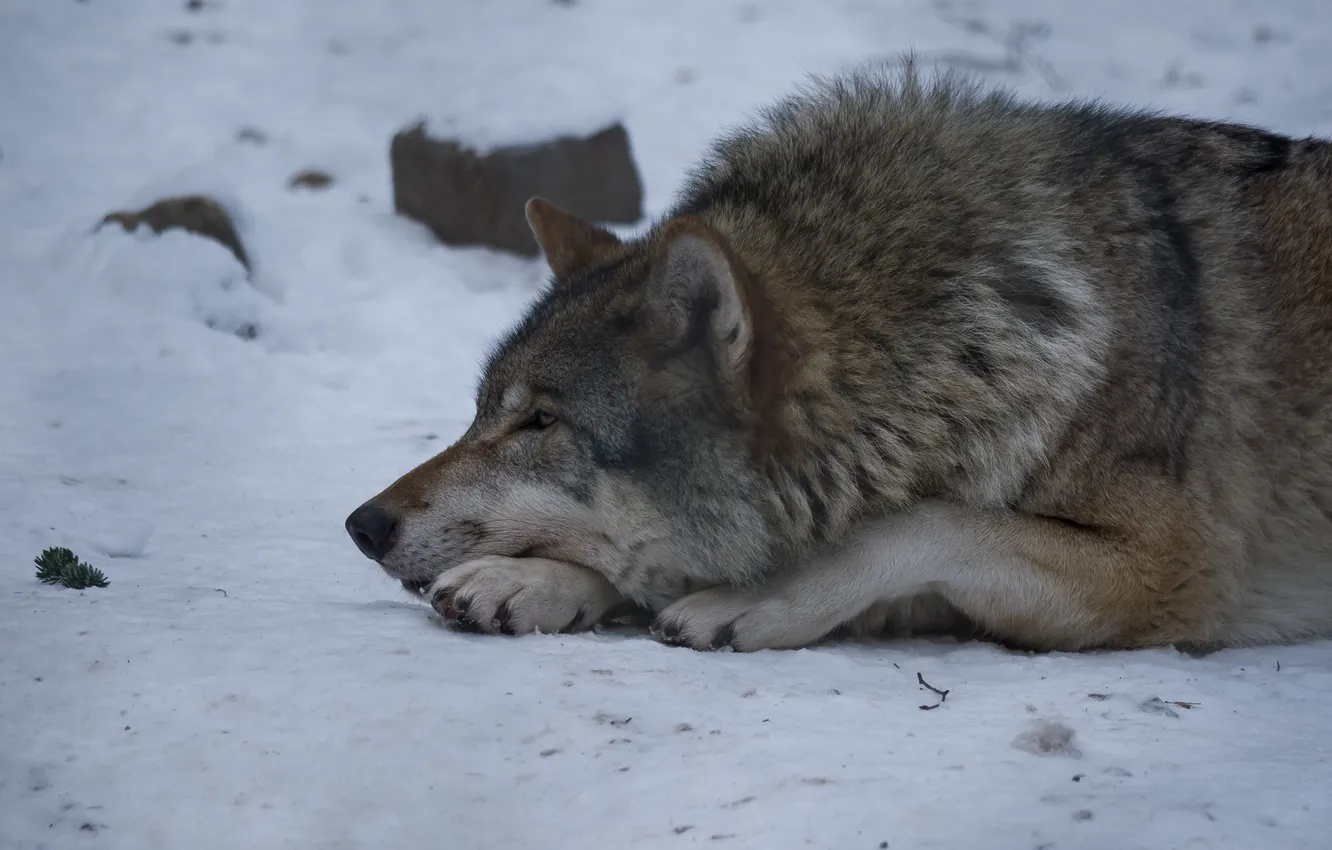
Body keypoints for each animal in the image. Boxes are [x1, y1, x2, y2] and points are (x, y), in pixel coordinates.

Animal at [345, 63, 1332, 653]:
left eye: (541, 422)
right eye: (482, 412)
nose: (362, 524)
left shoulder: (1170, 572)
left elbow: (921, 525)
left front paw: (754, 601)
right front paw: (532, 581)